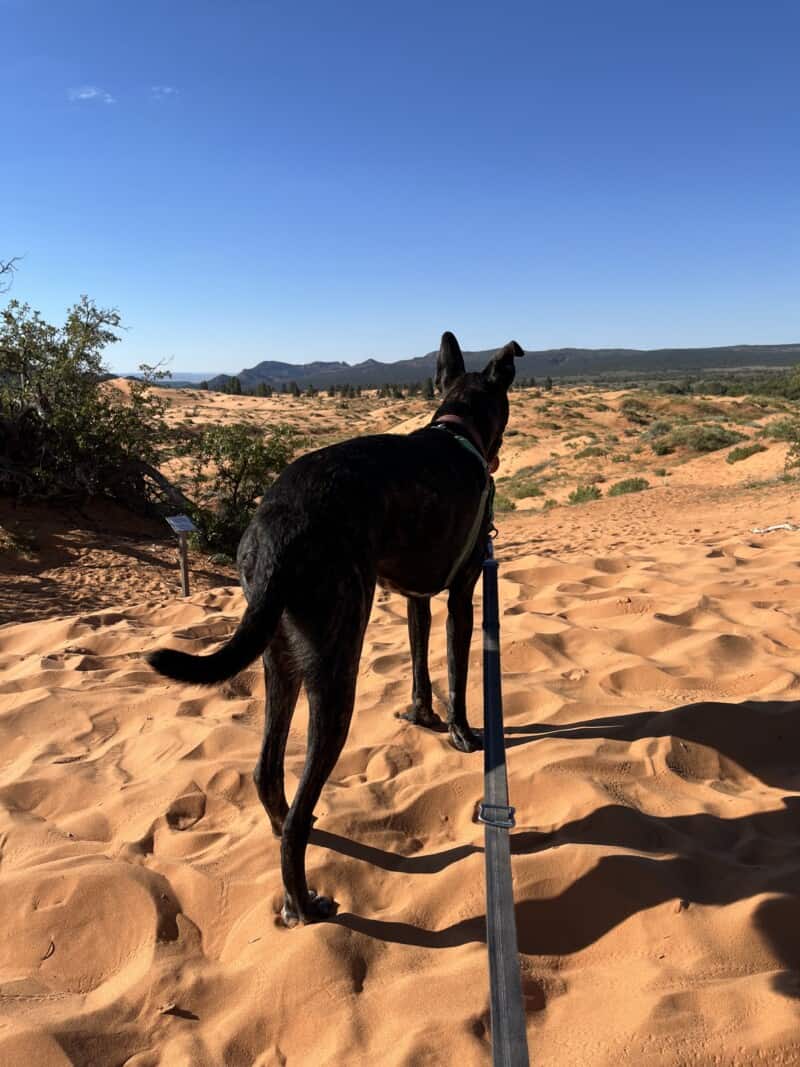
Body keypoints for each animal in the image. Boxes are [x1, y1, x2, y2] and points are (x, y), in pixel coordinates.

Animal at [147, 332, 522, 926]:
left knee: (266, 772)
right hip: (336, 663)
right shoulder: (463, 594)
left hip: (278, 655)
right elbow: (460, 673)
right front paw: (462, 733)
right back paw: (304, 904)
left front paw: (421, 716)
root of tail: (278, 530)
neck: (457, 426)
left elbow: (421, 664)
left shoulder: (415, 598)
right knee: (301, 808)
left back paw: (281, 835)